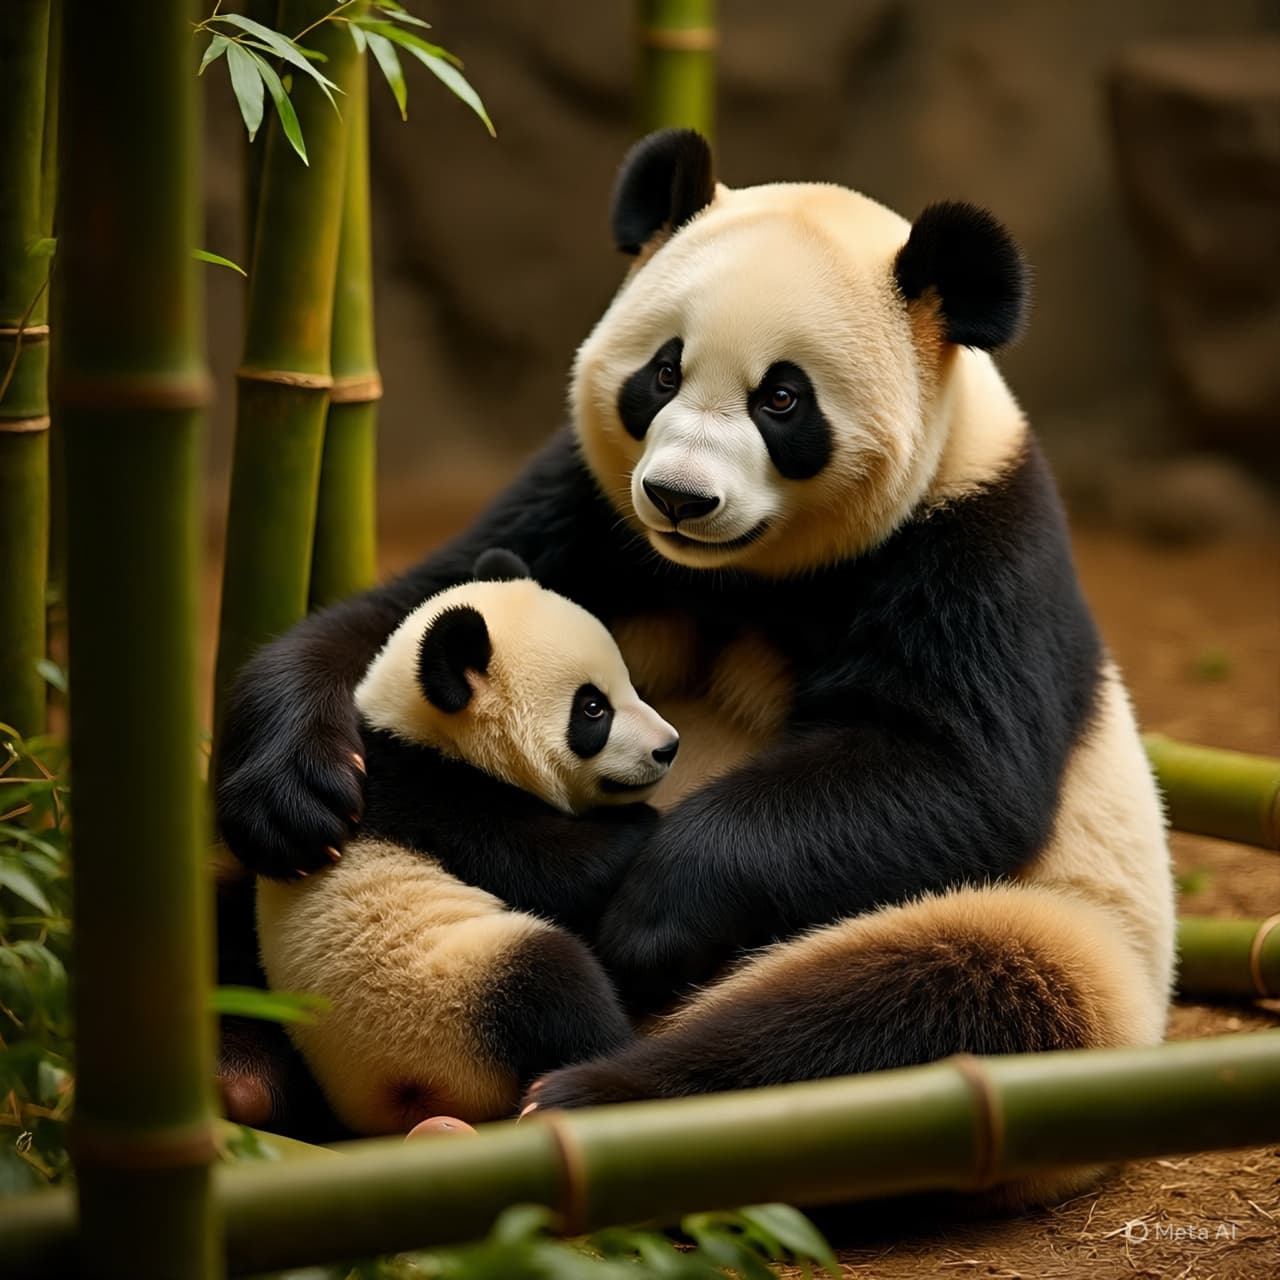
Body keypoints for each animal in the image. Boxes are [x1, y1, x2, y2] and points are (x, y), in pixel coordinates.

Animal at [255, 549, 679, 1134]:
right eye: (592, 709)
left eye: (629, 685)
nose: (669, 747)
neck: (423, 729)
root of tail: (403, 1095)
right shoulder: (436, 797)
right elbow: (553, 869)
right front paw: (644, 820)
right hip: (446, 995)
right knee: (551, 982)